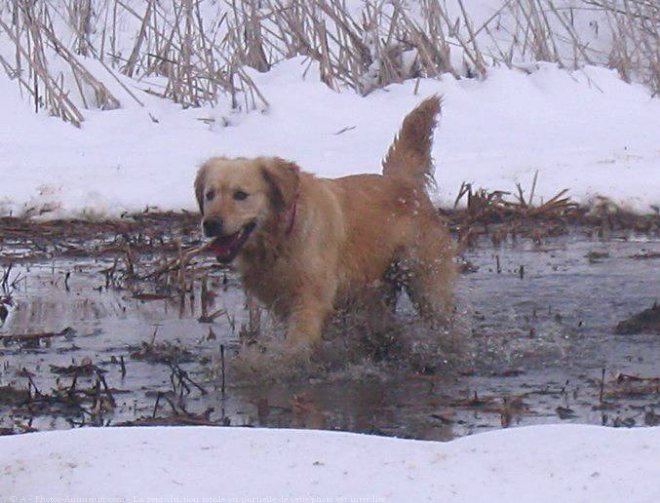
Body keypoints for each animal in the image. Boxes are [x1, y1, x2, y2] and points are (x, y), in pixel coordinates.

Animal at [193, 95, 456, 346]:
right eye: (209, 194)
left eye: (240, 194)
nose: (210, 224)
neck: (282, 237)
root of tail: (404, 181)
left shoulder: (310, 300)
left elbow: (293, 349)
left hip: (427, 285)